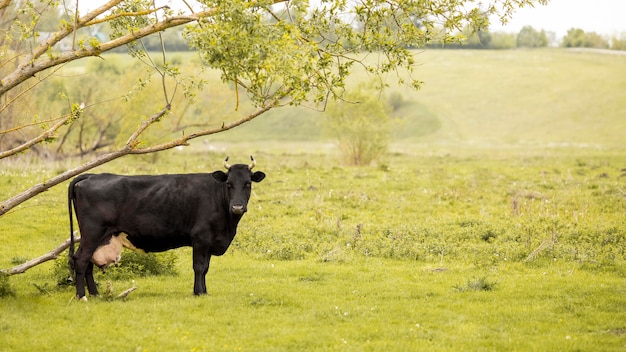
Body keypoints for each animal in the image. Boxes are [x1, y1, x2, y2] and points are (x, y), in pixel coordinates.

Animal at [67, 156, 264, 300]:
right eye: (229, 184)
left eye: (248, 183)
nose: (237, 207)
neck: (227, 226)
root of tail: (92, 175)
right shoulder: (200, 238)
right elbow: (199, 266)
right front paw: (198, 292)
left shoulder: (209, 242)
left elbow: (206, 267)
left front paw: (204, 291)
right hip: (92, 233)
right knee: (81, 260)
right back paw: (82, 296)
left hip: (96, 237)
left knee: (88, 263)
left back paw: (95, 294)